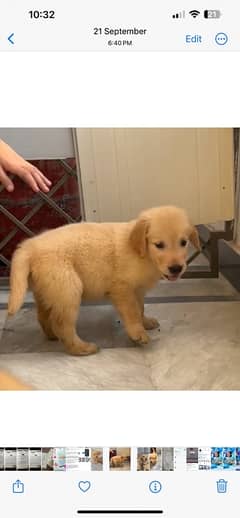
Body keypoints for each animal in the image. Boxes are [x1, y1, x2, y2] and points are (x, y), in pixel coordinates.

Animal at [7, 207, 201, 358]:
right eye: (159, 245)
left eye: (183, 242)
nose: (176, 268)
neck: (141, 253)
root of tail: (30, 246)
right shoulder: (122, 289)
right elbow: (132, 313)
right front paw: (138, 333)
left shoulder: (137, 290)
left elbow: (140, 309)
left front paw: (146, 322)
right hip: (68, 289)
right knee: (62, 325)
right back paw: (81, 348)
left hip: (49, 291)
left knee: (43, 315)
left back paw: (52, 336)